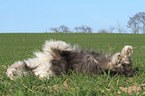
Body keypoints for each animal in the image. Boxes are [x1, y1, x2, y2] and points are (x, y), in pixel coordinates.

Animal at [6, 39, 134, 80]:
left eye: (14, 72)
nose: (11, 73)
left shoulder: (55, 56)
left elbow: (52, 46)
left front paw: (63, 44)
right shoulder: (57, 62)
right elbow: (52, 47)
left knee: (125, 60)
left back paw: (126, 51)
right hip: (107, 67)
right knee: (118, 63)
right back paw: (120, 57)